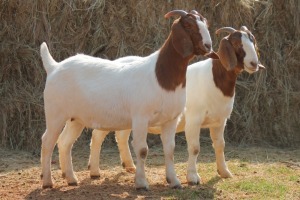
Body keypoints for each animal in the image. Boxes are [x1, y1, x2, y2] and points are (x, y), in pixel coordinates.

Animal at [41, 9, 216, 190]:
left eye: (205, 22)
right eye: (188, 25)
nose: (208, 46)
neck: (160, 75)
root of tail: (54, 67)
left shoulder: (171, 119)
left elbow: (169, 150)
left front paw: (173, 181)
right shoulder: (140, 117)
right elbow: (142, 150)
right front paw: (141, 183)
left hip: (75, 119)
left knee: (65, 143)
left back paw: (71, 178)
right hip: (55, 114)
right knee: (47, 142)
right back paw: (47, 182)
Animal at [59, 25, 264, 185]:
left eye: (253, 42)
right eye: (237, 44)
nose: (254, 63)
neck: (214, 80)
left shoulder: (220, 120)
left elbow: (220, 145)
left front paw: (224, 172)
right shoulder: (194, 119)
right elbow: (195, 147)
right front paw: (193, 177)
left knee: (120, 137)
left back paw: (129, 166)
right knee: (97, 136)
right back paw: (94, 171)